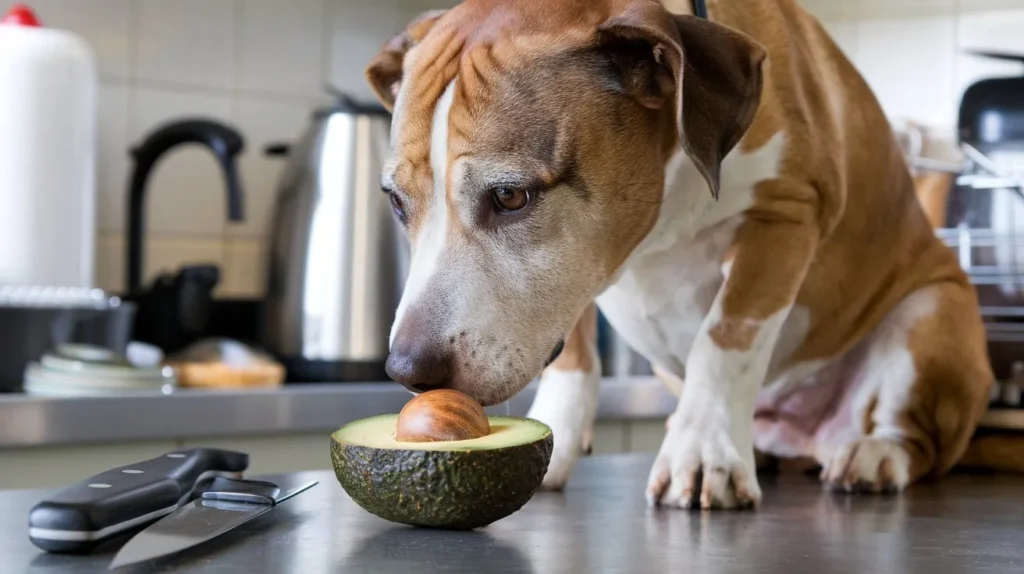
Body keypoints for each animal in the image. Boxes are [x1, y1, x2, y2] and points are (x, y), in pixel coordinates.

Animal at [364, 0, 1011, 509]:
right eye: (396, 202)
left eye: (509, 196)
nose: (407, 370)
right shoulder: (574, 277)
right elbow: (575, 359)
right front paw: (560, 441)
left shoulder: (786, 214)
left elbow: (725, 342)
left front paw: (702, 455)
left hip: (933, 313)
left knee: (919, 440)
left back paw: (874, 455)